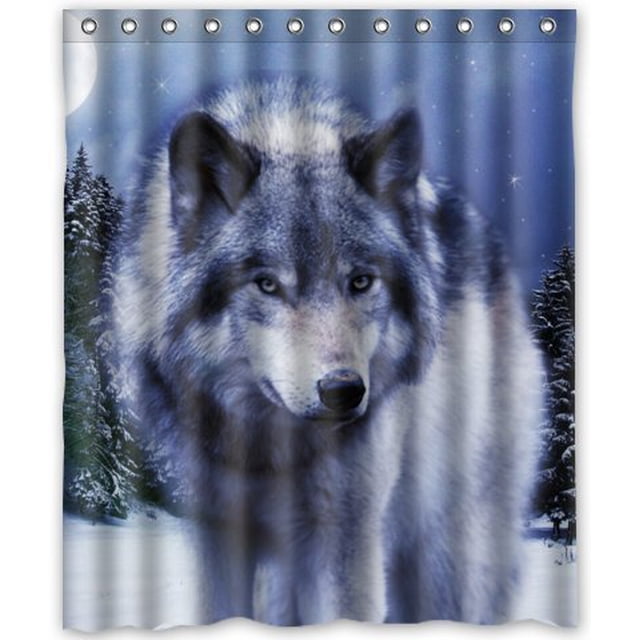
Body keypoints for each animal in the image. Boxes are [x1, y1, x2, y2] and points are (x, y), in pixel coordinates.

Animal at [112, 78, 543, 625]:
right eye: (267, 284)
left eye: (360, 281)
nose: (343, 390)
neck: (266, 453)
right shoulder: (213, 534)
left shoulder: (343, 542)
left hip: (449, 563)